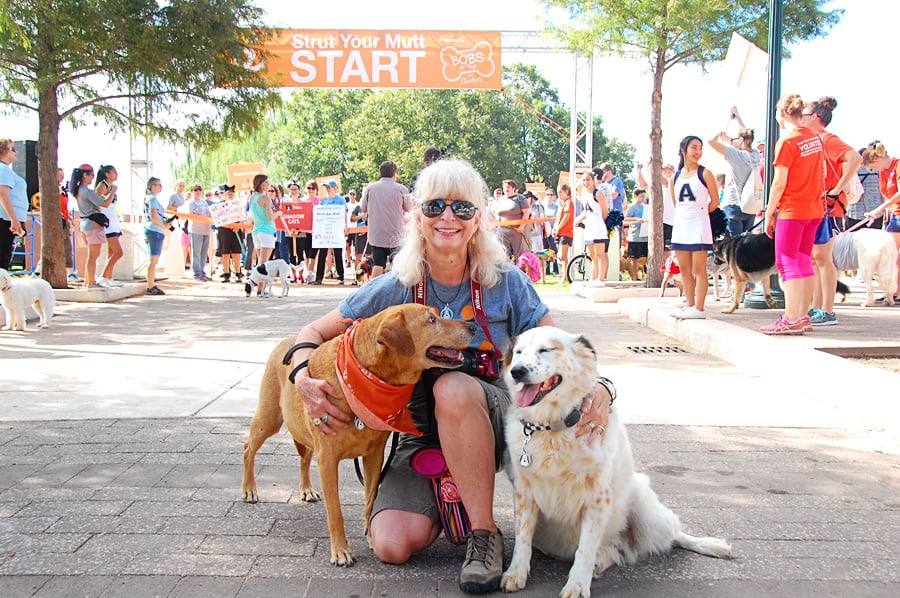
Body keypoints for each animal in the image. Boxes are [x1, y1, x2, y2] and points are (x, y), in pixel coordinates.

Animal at [239, 304, 478, 568]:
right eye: (431, 320)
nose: (473, 326)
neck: (367, 376)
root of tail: (286, 341)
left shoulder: (374, 455)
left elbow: (370, 500)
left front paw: (370, 537)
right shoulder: (327, 460)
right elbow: (335, 512)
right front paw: (340, 551)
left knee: (304, 457)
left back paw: (306, 489)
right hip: (269, 420)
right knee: (248, 448)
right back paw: (249, 489)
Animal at [500, 328, 732, 598]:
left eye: (546, 350)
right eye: (518, 352)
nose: (517, 371)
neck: (552, 429)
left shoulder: (597, 498)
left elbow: (585, 548)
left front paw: (577, 585)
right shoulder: (524, 494)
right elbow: (522, 539)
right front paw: (515, 573)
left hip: (647, 513)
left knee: (674, 534)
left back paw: (710, 544)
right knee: (618, 552)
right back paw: (602, 561)